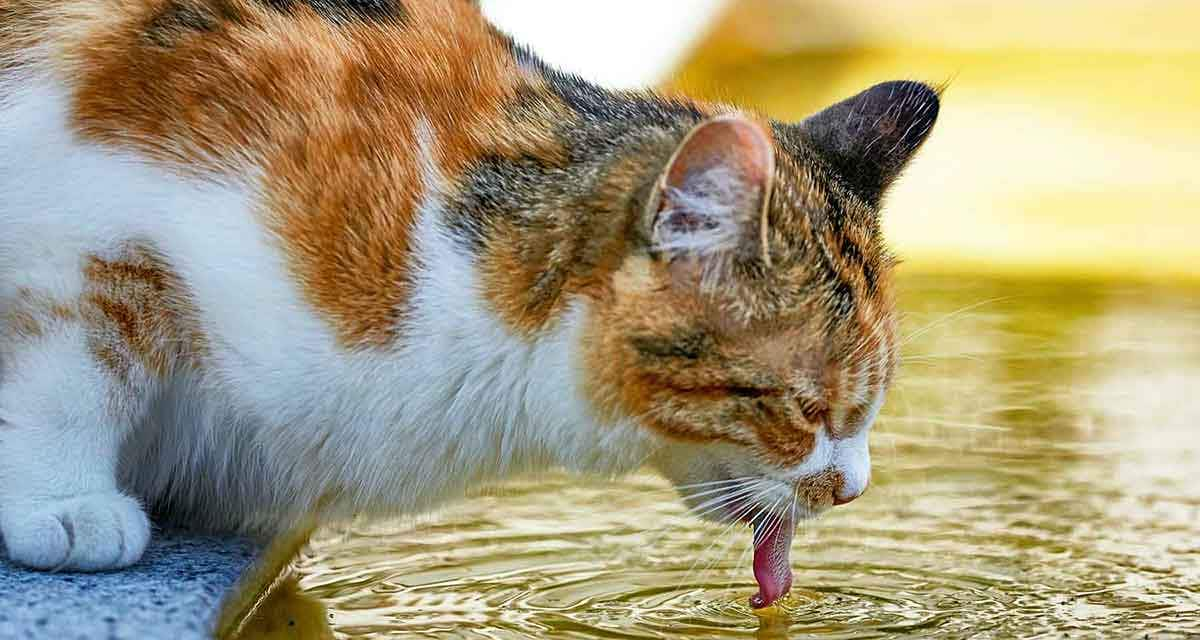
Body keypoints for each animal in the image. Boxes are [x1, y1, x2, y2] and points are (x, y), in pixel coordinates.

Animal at [0, 0, 936, 605]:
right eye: (808, 409)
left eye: (869, 408)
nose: (855, 488)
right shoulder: (90, 214)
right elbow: (78, 360)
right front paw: (61, 501)